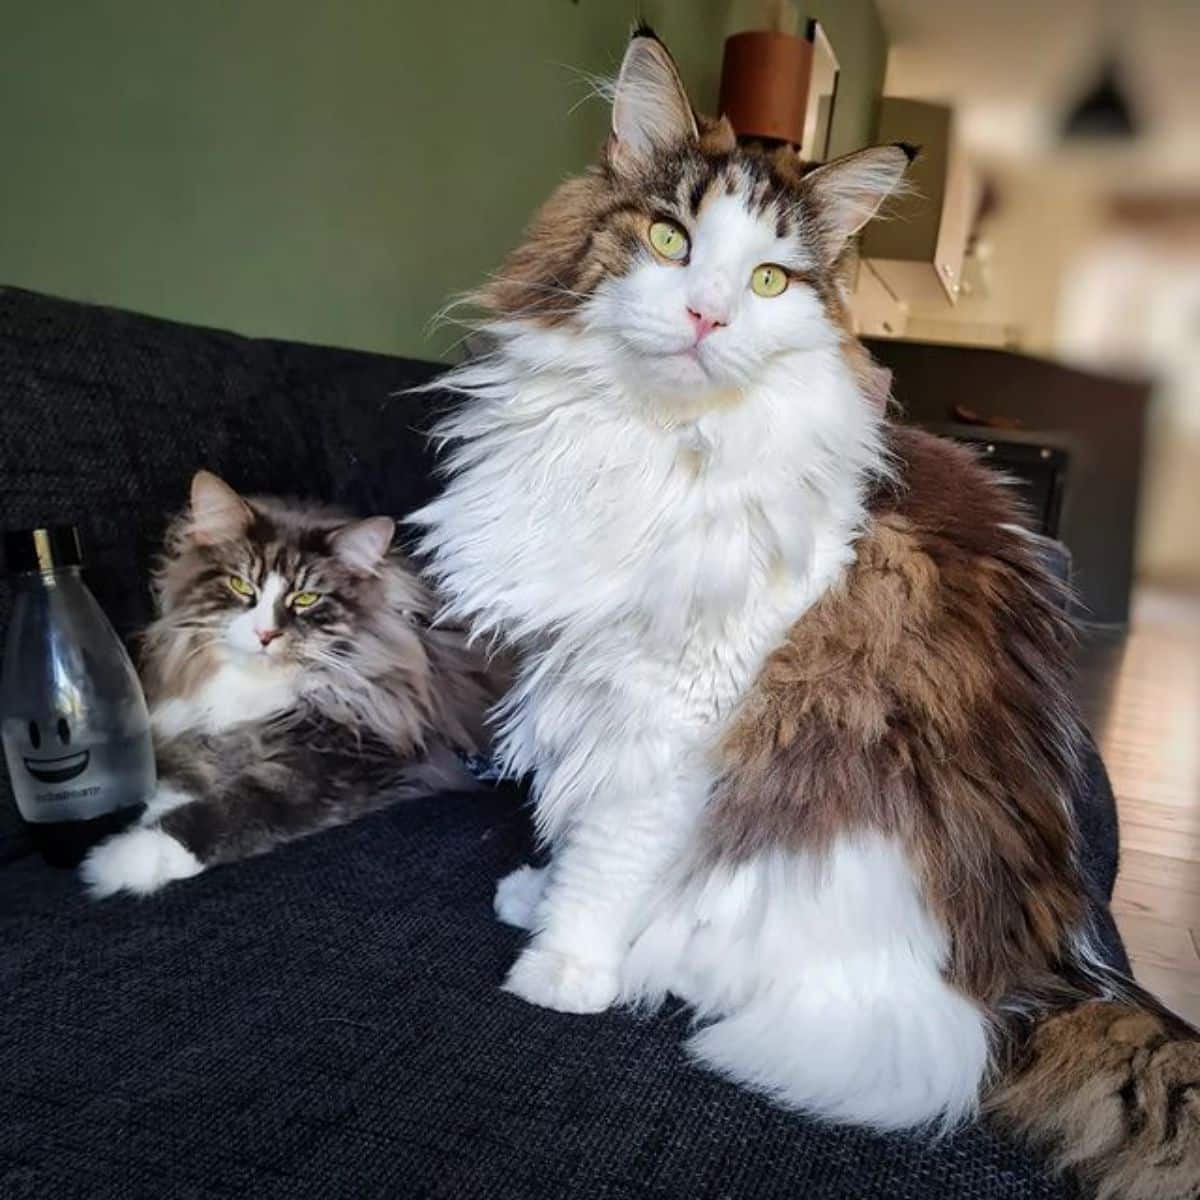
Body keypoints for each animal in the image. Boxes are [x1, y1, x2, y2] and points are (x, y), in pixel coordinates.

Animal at [81, 470, 496, 902]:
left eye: (307, 598)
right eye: (241, 586)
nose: (266, 634)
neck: (253, 692)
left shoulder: (339, 762)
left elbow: (233, 806)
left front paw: (124, 859)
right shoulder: (201, 733)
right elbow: (181, 783)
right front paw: (149, 817)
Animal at [412, 28, 1200, 1200]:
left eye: (771, 280)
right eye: (669, 239)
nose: (706, 315)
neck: (653, 441)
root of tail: (1037, 981)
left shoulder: (682, 710)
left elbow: (612, 851)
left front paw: (565, 965)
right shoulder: (588, 678)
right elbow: (580, 820)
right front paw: (538, 897)